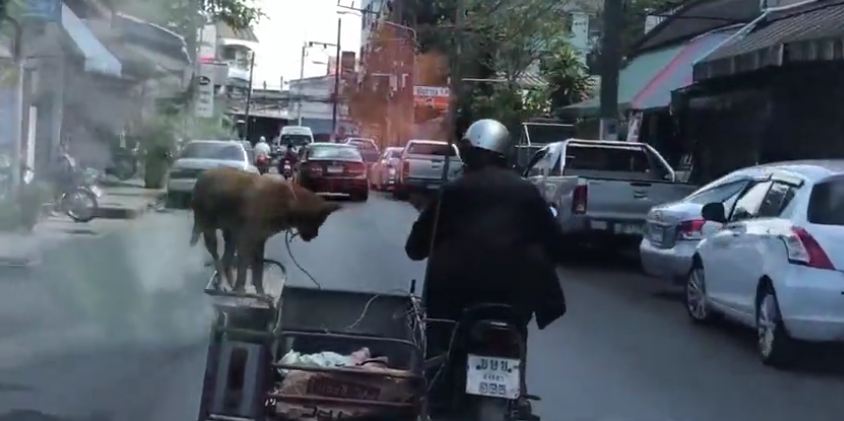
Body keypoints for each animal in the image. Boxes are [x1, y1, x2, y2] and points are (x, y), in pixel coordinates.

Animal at [190, 167, 340, 292]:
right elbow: (243, 270)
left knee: (225, 259)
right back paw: (223, 283)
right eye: (319, 222)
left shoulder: (259, 240)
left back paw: (227, 282)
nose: (315, 235)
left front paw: (260, 293)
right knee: (217, 259)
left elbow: (258, 271)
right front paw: (240, 291)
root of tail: (201, 176)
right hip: (209, 229)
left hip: (230, 233)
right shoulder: (245, 240)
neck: (289, 202)